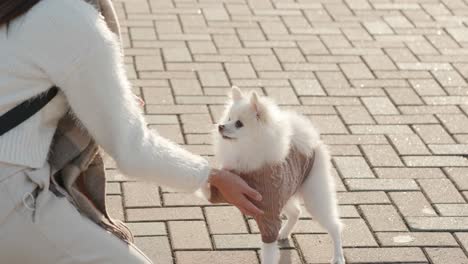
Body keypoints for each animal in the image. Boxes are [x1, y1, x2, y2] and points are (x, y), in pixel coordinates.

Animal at [201, 86, 344, 264]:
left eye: (239, 123)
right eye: (228, 118)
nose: (220, 126)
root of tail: (312, 142)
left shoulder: (269, 215)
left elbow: (269, 252)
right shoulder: (231, 188)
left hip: (315, 197)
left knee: (335, 226)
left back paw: (338, 256)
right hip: (287, 193)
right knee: (296, 212)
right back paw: (284, 233)